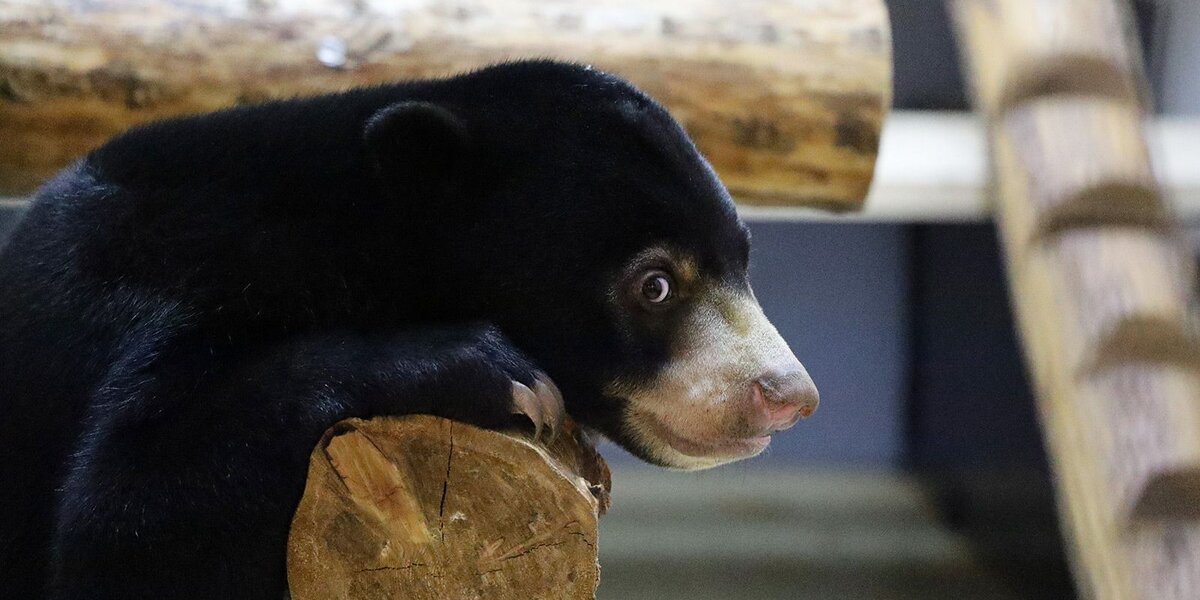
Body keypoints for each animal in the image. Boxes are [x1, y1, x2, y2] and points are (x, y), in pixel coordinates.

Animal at [0, 60, 820, 600]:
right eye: (655, 284)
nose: (789, 395)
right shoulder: (157, 289)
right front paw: (497, 373)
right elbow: (121, 519)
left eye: (742, 259)